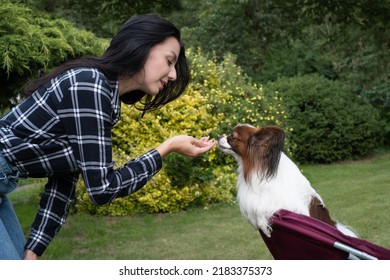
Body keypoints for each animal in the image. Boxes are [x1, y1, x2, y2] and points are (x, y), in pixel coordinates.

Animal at [216, 123, 356, 237]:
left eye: (232, 136)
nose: (217, 137)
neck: (261, 166)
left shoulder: (279, 205)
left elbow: (260, 210)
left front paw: (263, 227)